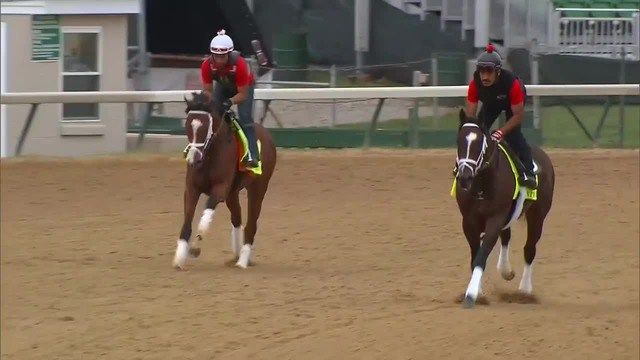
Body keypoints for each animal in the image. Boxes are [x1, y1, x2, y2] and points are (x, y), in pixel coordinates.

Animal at [174, 91, 276, 268]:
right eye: (187, 125)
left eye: (206, 127)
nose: (193, 159)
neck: (210, 155)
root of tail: (267, 135)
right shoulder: (192, 189)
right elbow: (187, 222)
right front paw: (179, 258)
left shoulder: (220, 189)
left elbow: (204, 220)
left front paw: (195, 247)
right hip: (232, 193)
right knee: (237, 218)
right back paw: (237, 255)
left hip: (258, 187)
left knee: (251, 223)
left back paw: (242, 261)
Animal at [456, 109, 556, 306]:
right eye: (459, 141)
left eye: (480, 143)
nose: (464, 176)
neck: (482, 185)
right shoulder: (468, 221)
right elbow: (476, 254)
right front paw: (479, 293)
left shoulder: (495, 218)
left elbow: (482, 255)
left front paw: (471, 294)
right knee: (507, 235)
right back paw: (505, 270)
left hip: (538, 215)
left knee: (529, 248)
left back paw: (525, 290)